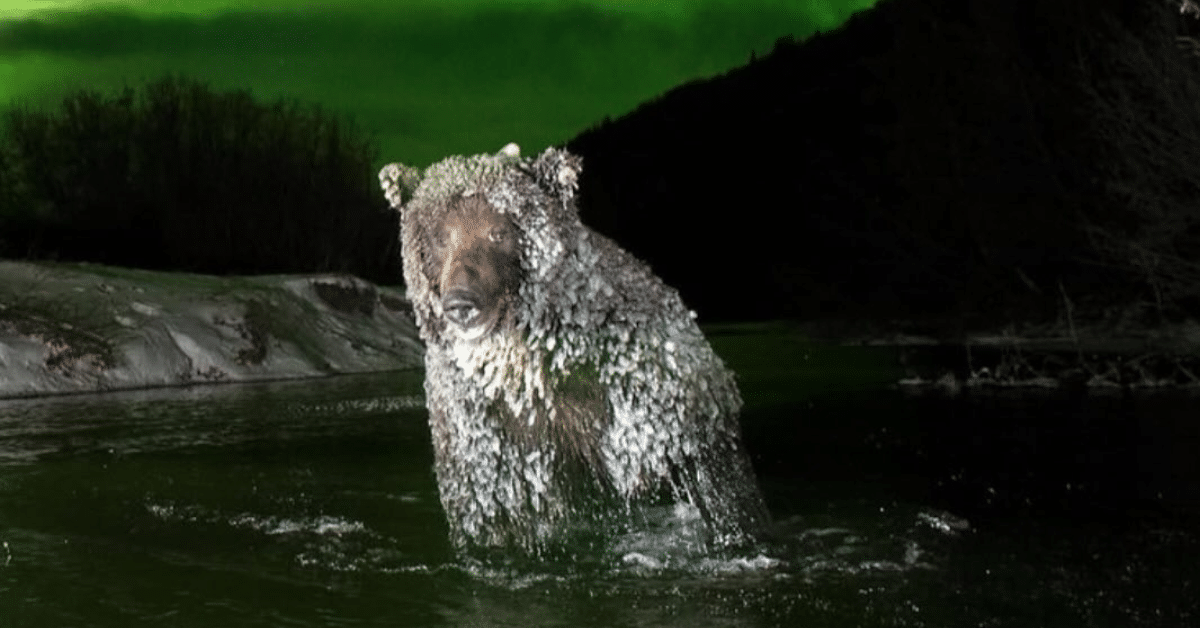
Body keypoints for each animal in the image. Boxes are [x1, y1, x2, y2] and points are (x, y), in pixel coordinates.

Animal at [378, 144, 768, 555]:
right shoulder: (481, 431)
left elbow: (720, 490)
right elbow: (495, 515)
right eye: (441, 236)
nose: (461, 302)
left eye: (498, 231)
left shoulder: (646, 395)